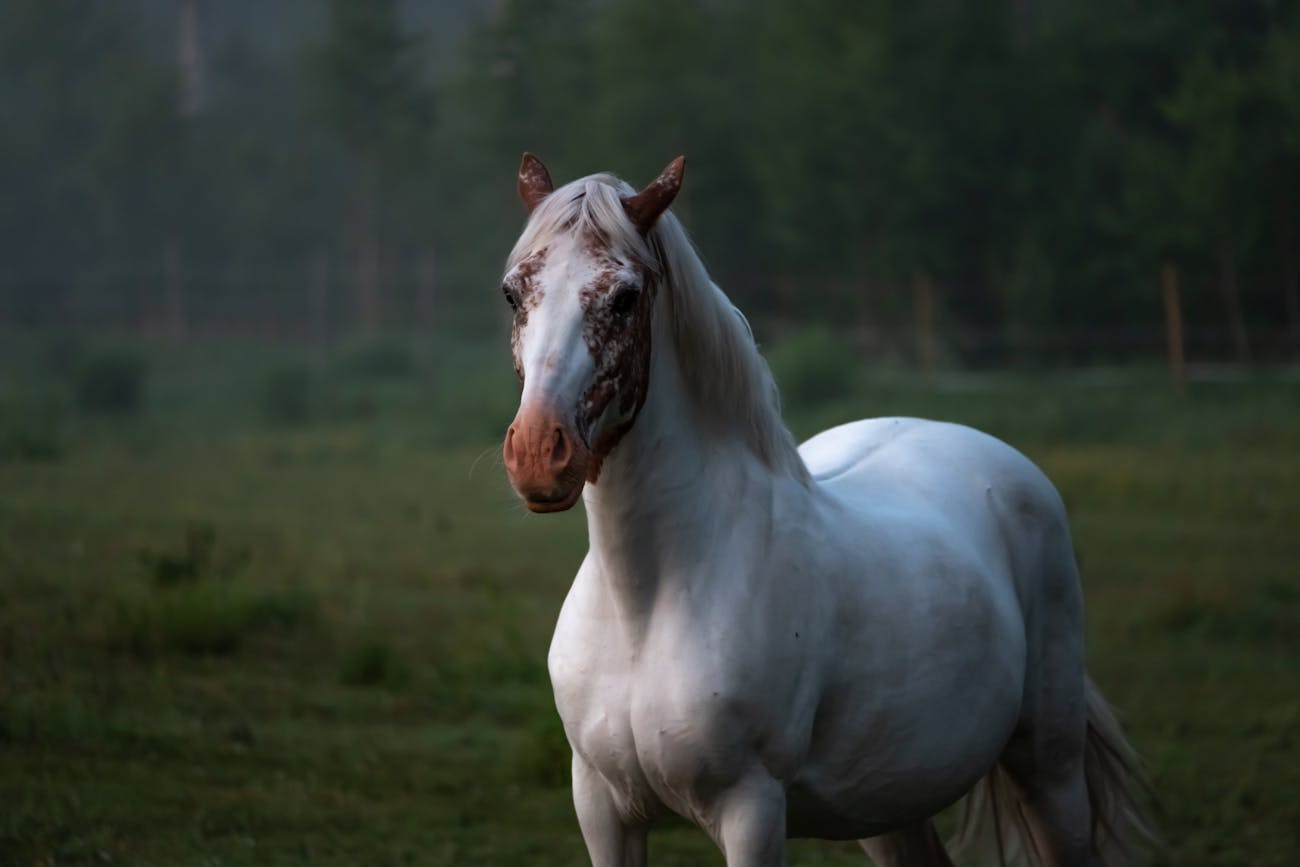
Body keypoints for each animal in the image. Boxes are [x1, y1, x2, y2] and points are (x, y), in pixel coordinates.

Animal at [496, 155, 1159, 867]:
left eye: (624, 298)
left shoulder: (752, 810)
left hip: (1049, 767)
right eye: (513, 293)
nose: (537, 453)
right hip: (888, 801)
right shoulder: (601, 809)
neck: (646, 605)